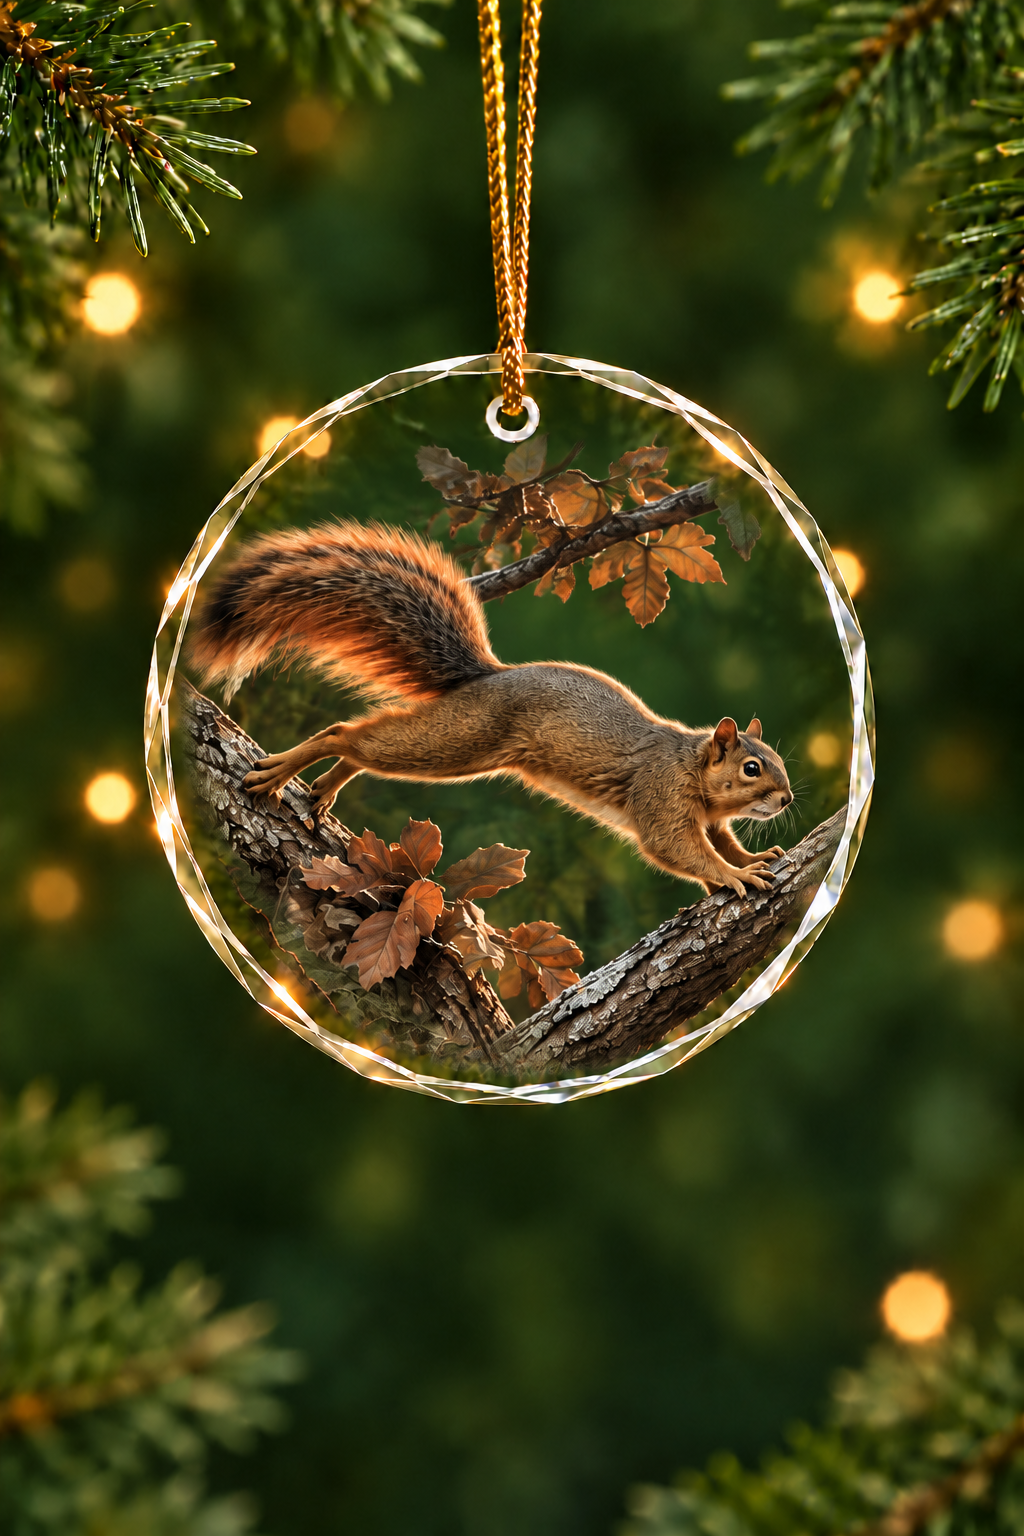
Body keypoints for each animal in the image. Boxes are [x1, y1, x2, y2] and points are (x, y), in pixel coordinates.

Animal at [189, 521, 793, 896]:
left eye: (779, 763)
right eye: (752, 767)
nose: (786, 800)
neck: (692, 767)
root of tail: (490, 676)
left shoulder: (710, 820)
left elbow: (722, 844)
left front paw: (750, 862)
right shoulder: (658, 794)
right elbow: (678, 850)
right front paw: (734, 878)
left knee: (365, 745)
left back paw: (326, 786)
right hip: (462, 739)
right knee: (346, 733)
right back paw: (281, 772)